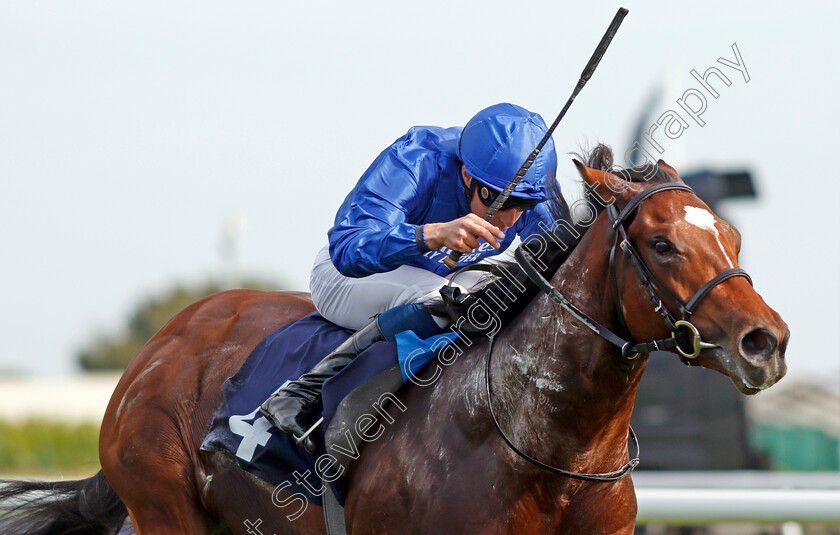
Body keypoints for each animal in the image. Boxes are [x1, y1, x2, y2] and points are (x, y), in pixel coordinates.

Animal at [0, 144, 788, 532]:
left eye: (731, 234)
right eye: (661, 243)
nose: (766, 340)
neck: (547, 448)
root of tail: (155, 353)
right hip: (164, 503)